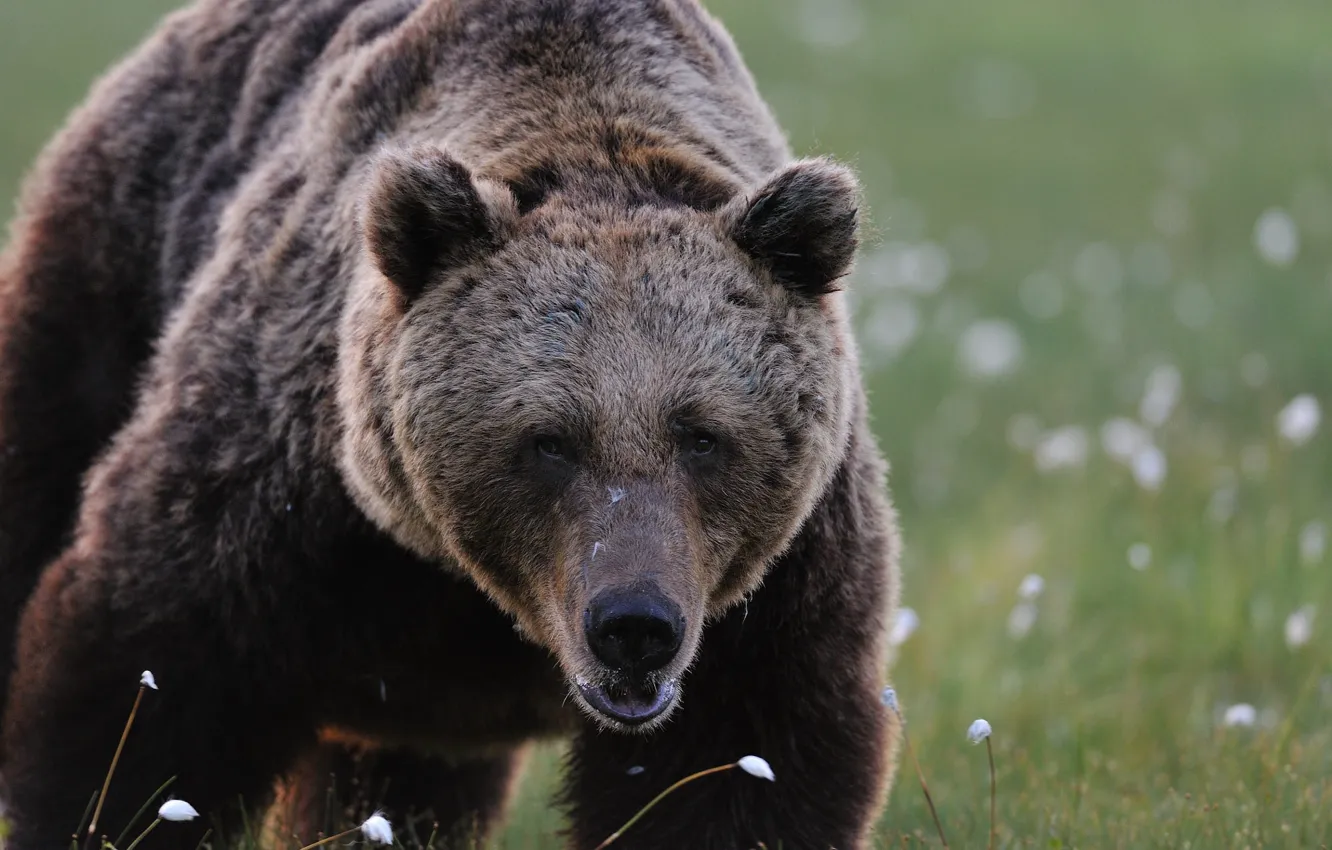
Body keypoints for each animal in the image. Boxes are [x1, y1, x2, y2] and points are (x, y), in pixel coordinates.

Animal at [0, 0, 902, 847]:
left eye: (701, 435)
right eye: (550, 440)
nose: (635, 626)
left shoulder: (778, 589)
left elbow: (741, 765)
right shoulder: (281, 503)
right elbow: (153, 680)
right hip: (108, 282)